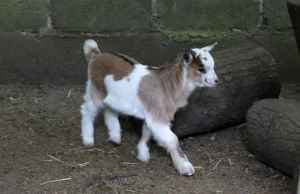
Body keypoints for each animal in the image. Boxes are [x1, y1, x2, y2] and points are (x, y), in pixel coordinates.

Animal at [81, 39, 219, 176]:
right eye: (201, 69)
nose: (216, 81)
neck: (169, 83)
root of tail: (96, 54)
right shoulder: (158, 116)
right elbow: (173, 139)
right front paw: (185, 168)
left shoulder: (152, 112)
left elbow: (147, 132)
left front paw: (143, 155)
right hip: (95, 91)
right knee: (87, 111)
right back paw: (88, 140)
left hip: (111, 96)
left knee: (110, 110)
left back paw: (115, 138)